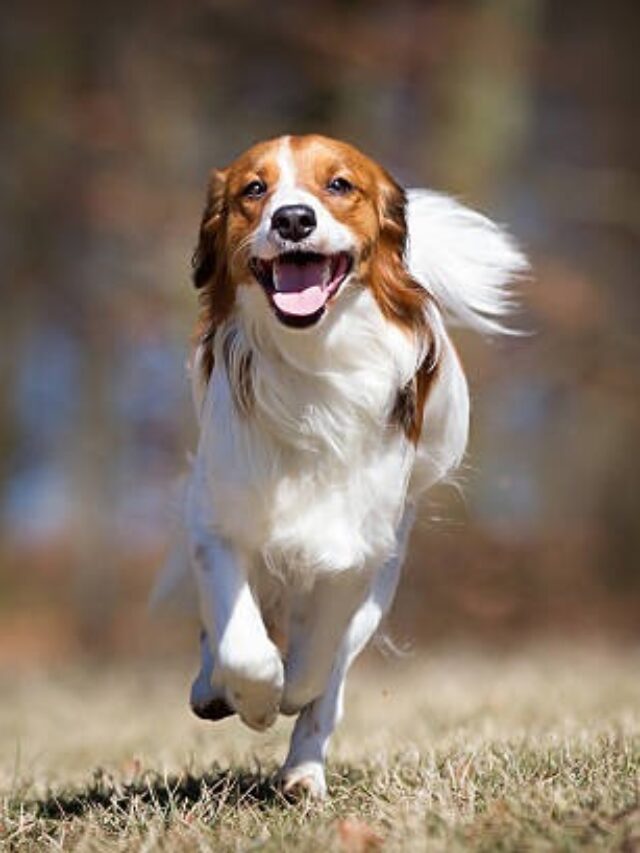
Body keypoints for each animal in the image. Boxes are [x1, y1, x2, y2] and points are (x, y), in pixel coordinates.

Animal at [176, 130, 524, 796]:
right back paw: (215, 691)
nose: (293, 219)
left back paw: (302, 774)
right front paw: (251, 697)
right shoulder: (217, 523)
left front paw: (289, 696)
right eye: (253, 190)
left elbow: (317, 667)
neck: (313, 360)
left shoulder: (356, 550)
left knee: (330, 680)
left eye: (339, 185)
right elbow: (241, 645)